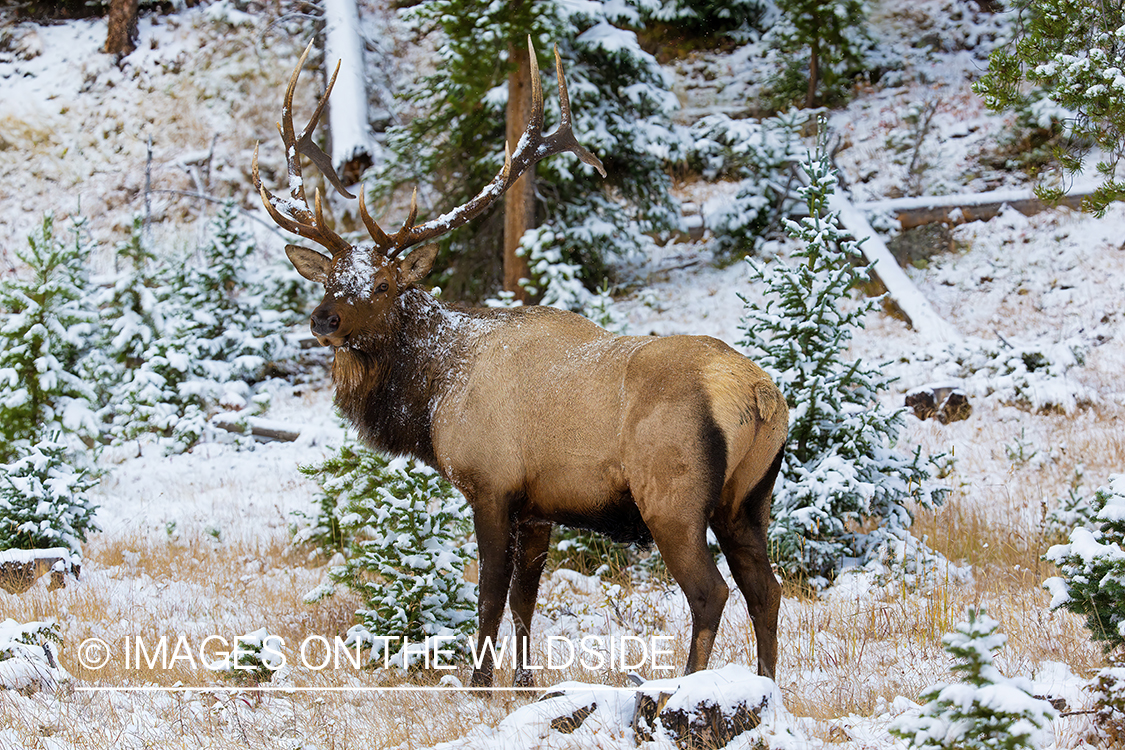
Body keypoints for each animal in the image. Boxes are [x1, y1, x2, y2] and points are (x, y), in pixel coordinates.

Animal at [254, 39, 787, 688]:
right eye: (331, 278)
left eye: (381, 285)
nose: (323, 319)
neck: (432, 396)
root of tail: (760, 396)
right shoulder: (539, 506)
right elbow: (524, 597)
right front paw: (524, 681)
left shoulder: (491, 483)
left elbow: (488, 593)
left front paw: (480, 683)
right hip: (749, 500)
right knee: (766, 590)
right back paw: (766, 687)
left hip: (675, 497)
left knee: (711, 593)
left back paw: (685, 687)